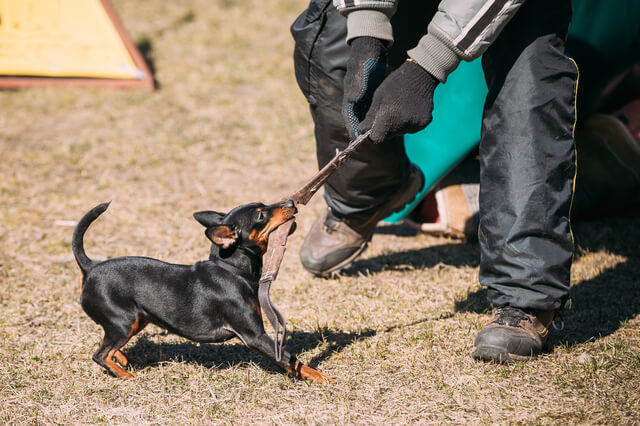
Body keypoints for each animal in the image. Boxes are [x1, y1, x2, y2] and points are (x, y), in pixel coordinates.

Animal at [74, 201, 336, 384]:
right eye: (261, 215)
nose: (291, 203)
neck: (231, 269)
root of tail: (90, 267)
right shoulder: (255, 336)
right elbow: (291, 360)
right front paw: (320, 376)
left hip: (137, 320)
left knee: (109, 348)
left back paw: (124, 361)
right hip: (124, 322)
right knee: (100, 354)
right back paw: (126, 375)